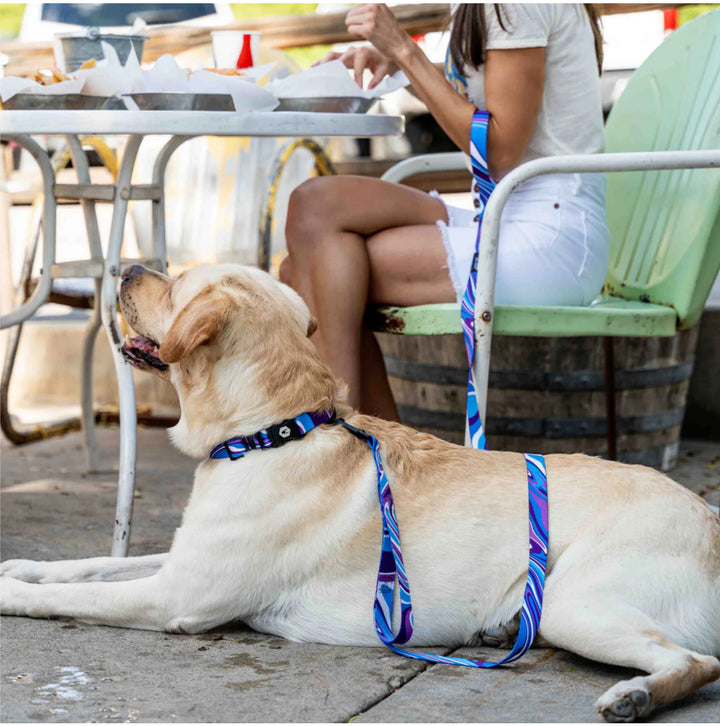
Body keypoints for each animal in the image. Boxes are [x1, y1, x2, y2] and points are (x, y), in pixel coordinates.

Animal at [1, 266, 720, 724]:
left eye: (176, 283)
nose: (124, 266)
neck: (273, 431)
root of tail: (708, 516)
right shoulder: (182, 560)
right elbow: (88, 565)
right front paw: (22, 566)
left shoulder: (178, 597)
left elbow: (77, 597)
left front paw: (13, 595)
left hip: (580, 602)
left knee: (699, 662)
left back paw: (636, 697)